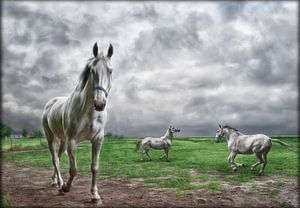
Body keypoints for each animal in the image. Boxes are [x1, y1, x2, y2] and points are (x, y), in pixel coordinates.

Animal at [41, 42, 113, 203]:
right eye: (92, 70)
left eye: (110, 71)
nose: (100, 104)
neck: (89, 112)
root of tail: (50, 103)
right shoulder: (72, 141)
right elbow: (74, 170)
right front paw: (66, 188)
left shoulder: (98, 140)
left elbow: (95, 167)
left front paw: (95, 195)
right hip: (51, 138)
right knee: (55, 159)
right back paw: (60, 185)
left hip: (62, 141)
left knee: (58, 158)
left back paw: (55, 181)